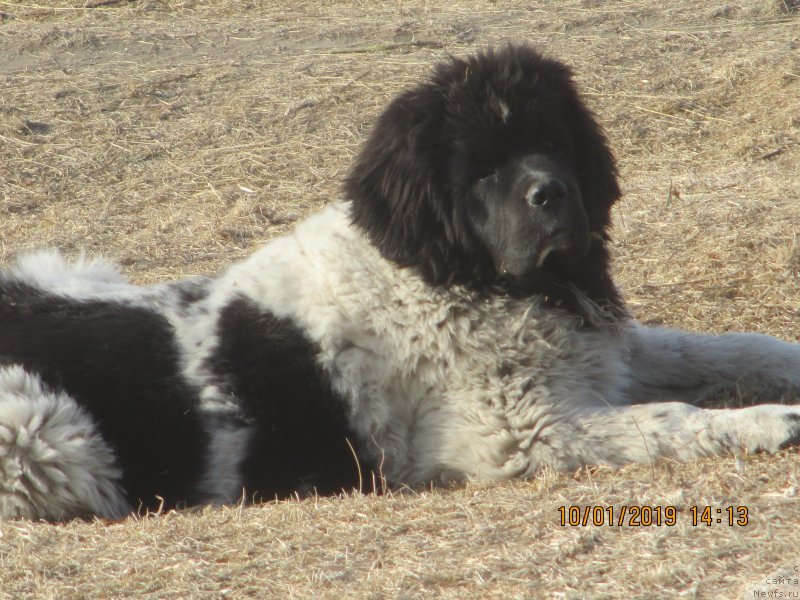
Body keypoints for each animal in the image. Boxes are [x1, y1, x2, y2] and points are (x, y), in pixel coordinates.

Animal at [1, 45, 800, 520]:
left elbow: (725, 347)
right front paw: (765, 422)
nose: (552, 194)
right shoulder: (524, 433)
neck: (448, 275)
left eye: (552, 140)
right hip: (46, 434)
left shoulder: (599, 349)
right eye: (481, 172)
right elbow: (667, 420)